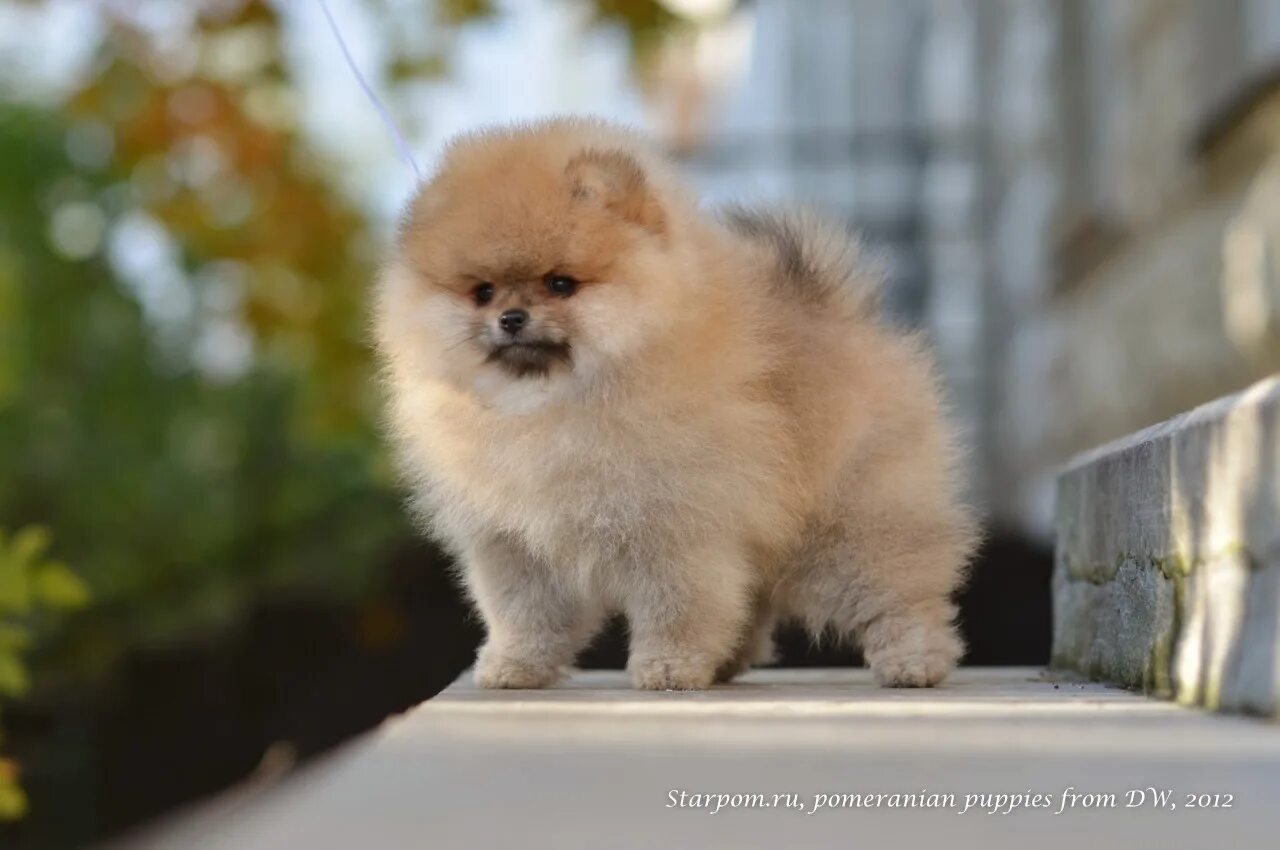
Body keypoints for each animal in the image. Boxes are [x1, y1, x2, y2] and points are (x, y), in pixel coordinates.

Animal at [373, 117, 972, 691]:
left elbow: (677, 606)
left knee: (897, 592)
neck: (550, 402)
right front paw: (516, 665)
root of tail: (840, 314)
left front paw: (669, 666)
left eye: (561, 283)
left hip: (854, 521)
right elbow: (527, 614)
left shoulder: (673, 526)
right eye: (483, 292)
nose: (511, 318)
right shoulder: (516, 545)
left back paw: (913, 662)